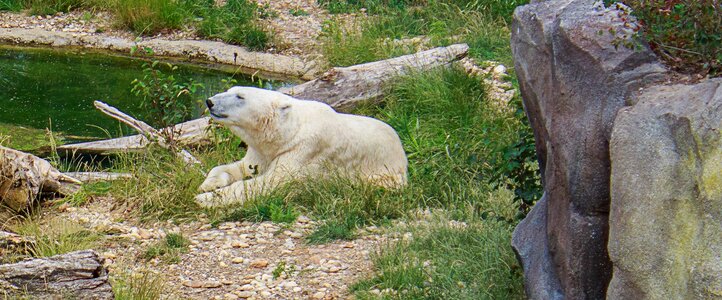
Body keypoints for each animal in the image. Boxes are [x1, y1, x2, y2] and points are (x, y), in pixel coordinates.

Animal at [194, 86, 408, 207]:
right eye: (230, 90)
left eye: (240, 96)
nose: (210, 101)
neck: (289, 131)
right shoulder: (262, 151)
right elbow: (243, 167)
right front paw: (208, 184)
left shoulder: (304, 149)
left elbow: (271, 182)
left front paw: (205, 199)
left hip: (382, 173)